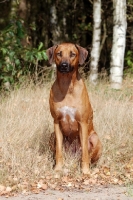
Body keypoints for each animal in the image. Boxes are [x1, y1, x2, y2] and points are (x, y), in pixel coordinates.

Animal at [46, 43, 102, 174]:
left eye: (72, 54)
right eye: (59, 53)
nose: (64, 65)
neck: (67, 86)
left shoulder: (82, 122)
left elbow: (85, 153)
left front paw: (85, 171)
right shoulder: (56, 122)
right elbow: (59, 150)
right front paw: (58, 168)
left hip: (95, 138)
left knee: (90, 156)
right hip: (52, 135)